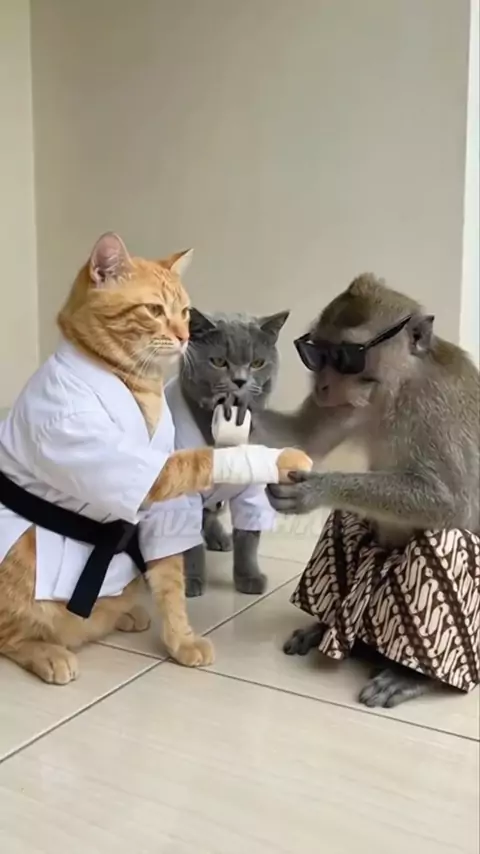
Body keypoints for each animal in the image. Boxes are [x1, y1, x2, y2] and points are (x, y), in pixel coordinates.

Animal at [166, 308, 289, 597]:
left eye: (257, 362)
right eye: (219, 361)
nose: (240, 380)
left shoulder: (252, 491)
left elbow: (248, 538)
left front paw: (249, 578)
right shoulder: (183, 495)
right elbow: (188, 543)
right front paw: (191, 581)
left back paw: (220, 538)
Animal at [251, 274, 480, 708]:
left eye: (345, 356)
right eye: (316, 354)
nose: (323, 385)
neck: (397, 389)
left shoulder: (433, 407)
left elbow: (452, 505)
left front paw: (317, 490)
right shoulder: (347, 407)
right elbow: (301, 438)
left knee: (444, 536)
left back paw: (411, 674)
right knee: (346, 519)